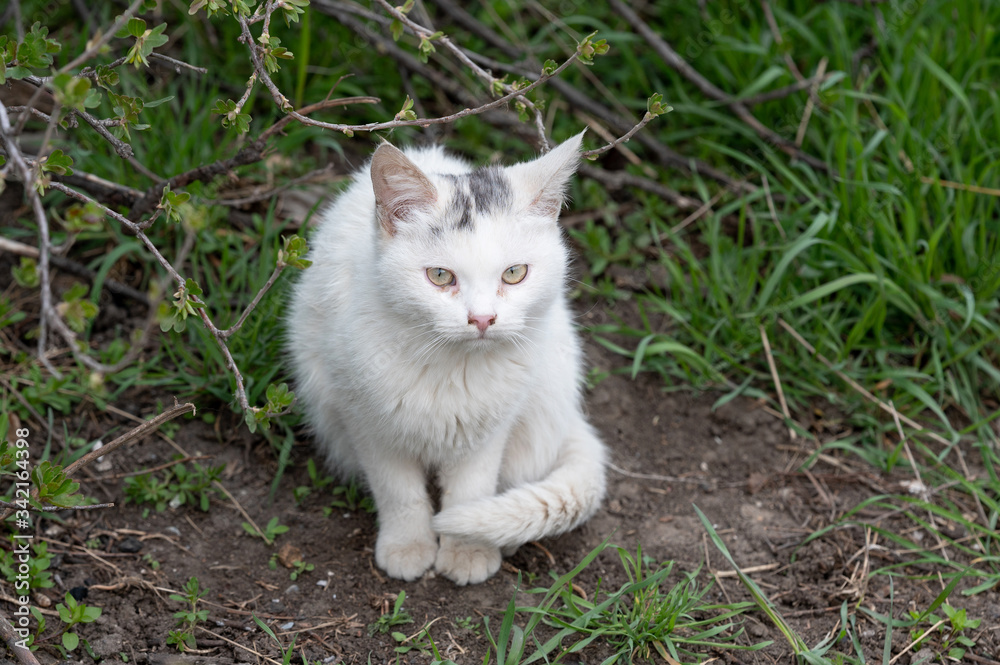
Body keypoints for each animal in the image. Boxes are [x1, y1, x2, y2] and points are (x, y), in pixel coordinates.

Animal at [286, 134, 604, 580]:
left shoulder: (489, 430)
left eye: (514, 273)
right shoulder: (364, 422)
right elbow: (398, 491)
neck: (453, 368)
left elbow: (471, 490)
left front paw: (468, 549)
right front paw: (408, 545)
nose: (482, 318)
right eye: (440, 276)